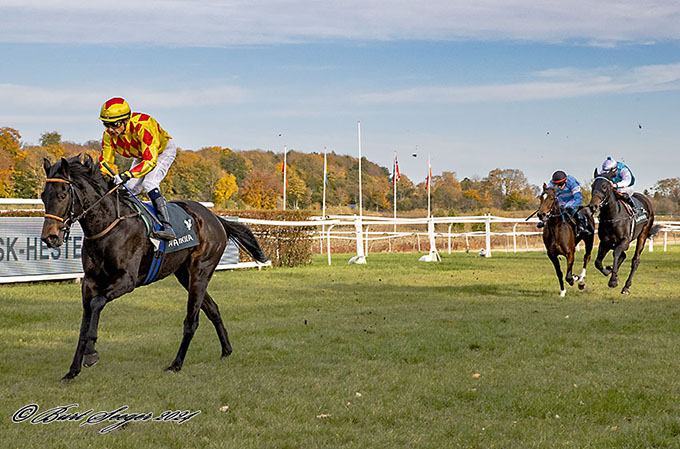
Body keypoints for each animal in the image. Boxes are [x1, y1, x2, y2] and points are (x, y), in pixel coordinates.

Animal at [39, 154, 268, 378]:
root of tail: (216, 218)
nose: (50, 237)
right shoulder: (89, 282)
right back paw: (226, 349)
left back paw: (176, 364)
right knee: (213, 309)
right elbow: (84, 323)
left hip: (201, 271)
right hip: (184, 275)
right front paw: (73, 370)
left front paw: (91, 353)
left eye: (62, 195)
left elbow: (96, 304)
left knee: (191, 321)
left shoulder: (126, 280)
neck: (108, 226)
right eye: (43, 196)